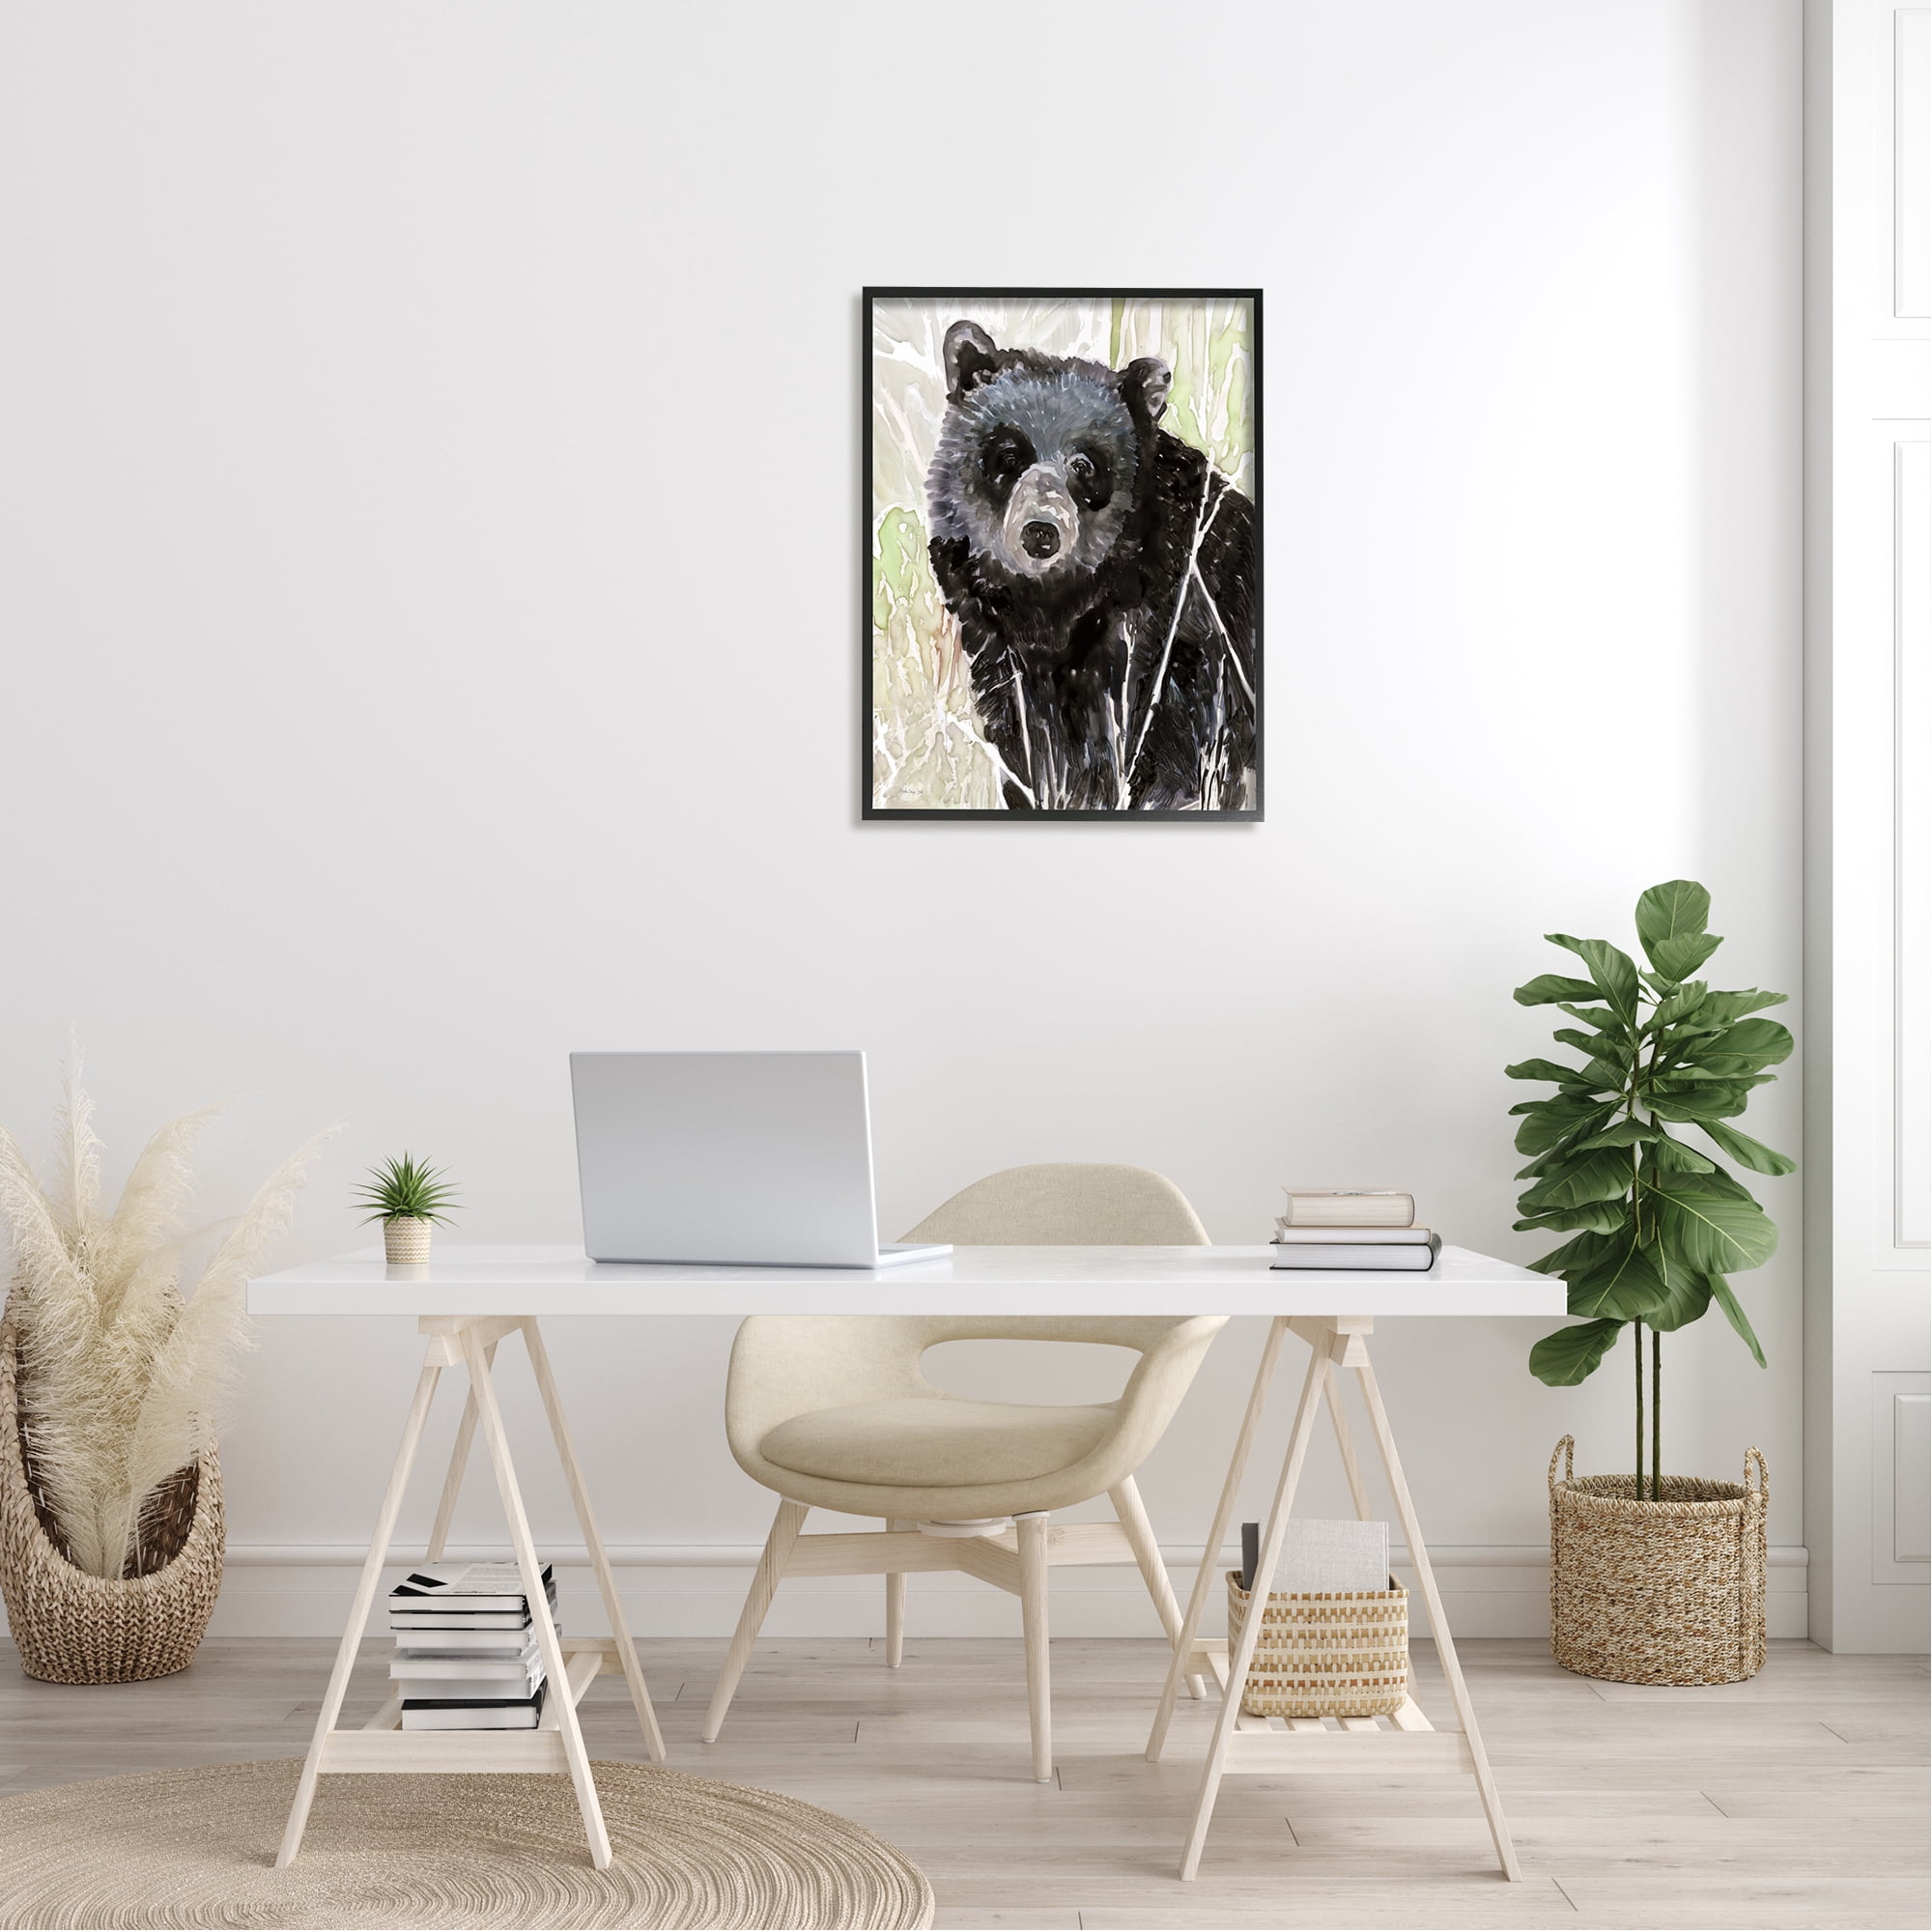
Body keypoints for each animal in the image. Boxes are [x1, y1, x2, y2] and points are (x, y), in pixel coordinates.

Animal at [925, 319, 1256, 813]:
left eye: (1084, 465)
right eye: (1009, 456)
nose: (1041, 533)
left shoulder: (1168, 643)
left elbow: (1158, 760)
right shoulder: (1000, 654)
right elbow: (1026, 745)